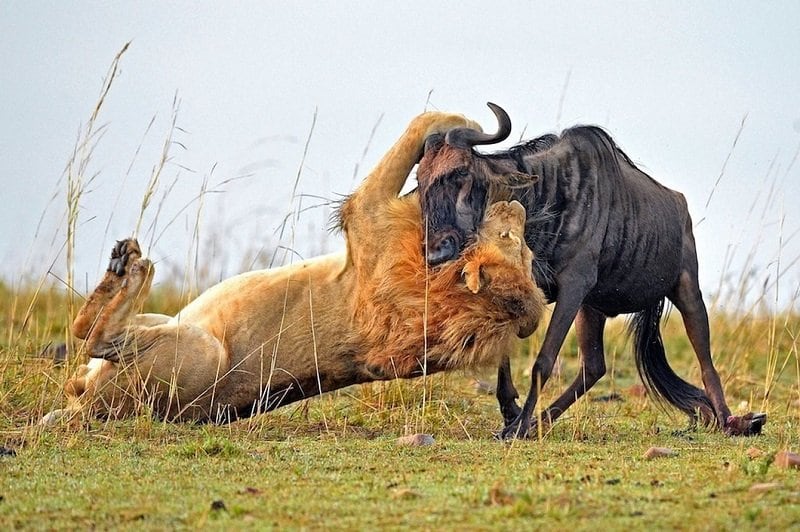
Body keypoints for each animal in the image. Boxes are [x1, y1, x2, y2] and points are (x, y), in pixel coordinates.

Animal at [40, 111, 548, 424]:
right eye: (522, 251)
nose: (517, 210)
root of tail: (91, 410)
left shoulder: (368, 214)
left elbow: (425, 118)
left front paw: (467, 129)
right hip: (162, 322)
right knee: (85, 349)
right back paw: (121, 267)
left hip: (199, 350)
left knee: (94, 335)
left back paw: (131, 267)